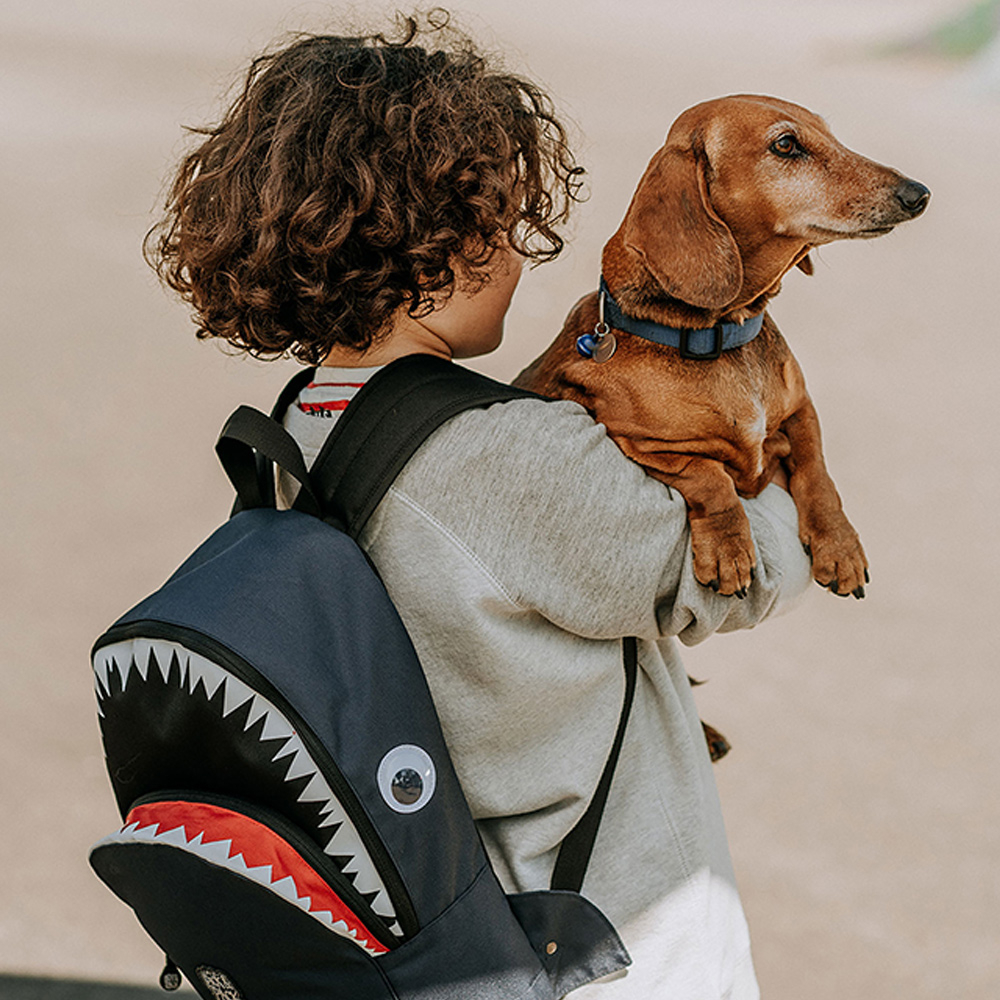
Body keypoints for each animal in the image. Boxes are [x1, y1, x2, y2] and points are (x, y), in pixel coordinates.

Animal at [516, 95, 928, 600]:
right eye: (785, 144)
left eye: (828, 133)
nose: (918, 194)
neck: (719, 334)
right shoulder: (641, 444)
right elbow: (709, 478)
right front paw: (730, 550)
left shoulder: (801, 409)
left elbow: (817, 472)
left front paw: (840, 545)